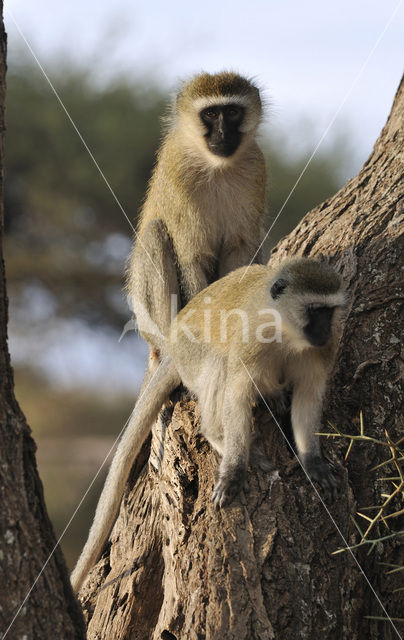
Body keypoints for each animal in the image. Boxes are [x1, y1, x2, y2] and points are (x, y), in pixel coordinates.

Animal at [72, 255, 344, 592]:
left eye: (329, 312)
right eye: (314, 311)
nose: (325, 331)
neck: (285, 332)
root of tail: (172, 346)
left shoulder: (321, 353)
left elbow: (308, 396)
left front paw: (313, 461)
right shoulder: (250, 342)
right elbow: (237, 393)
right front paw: (234, 469)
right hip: (191, 357)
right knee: (219, 363)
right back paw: (218, 434)